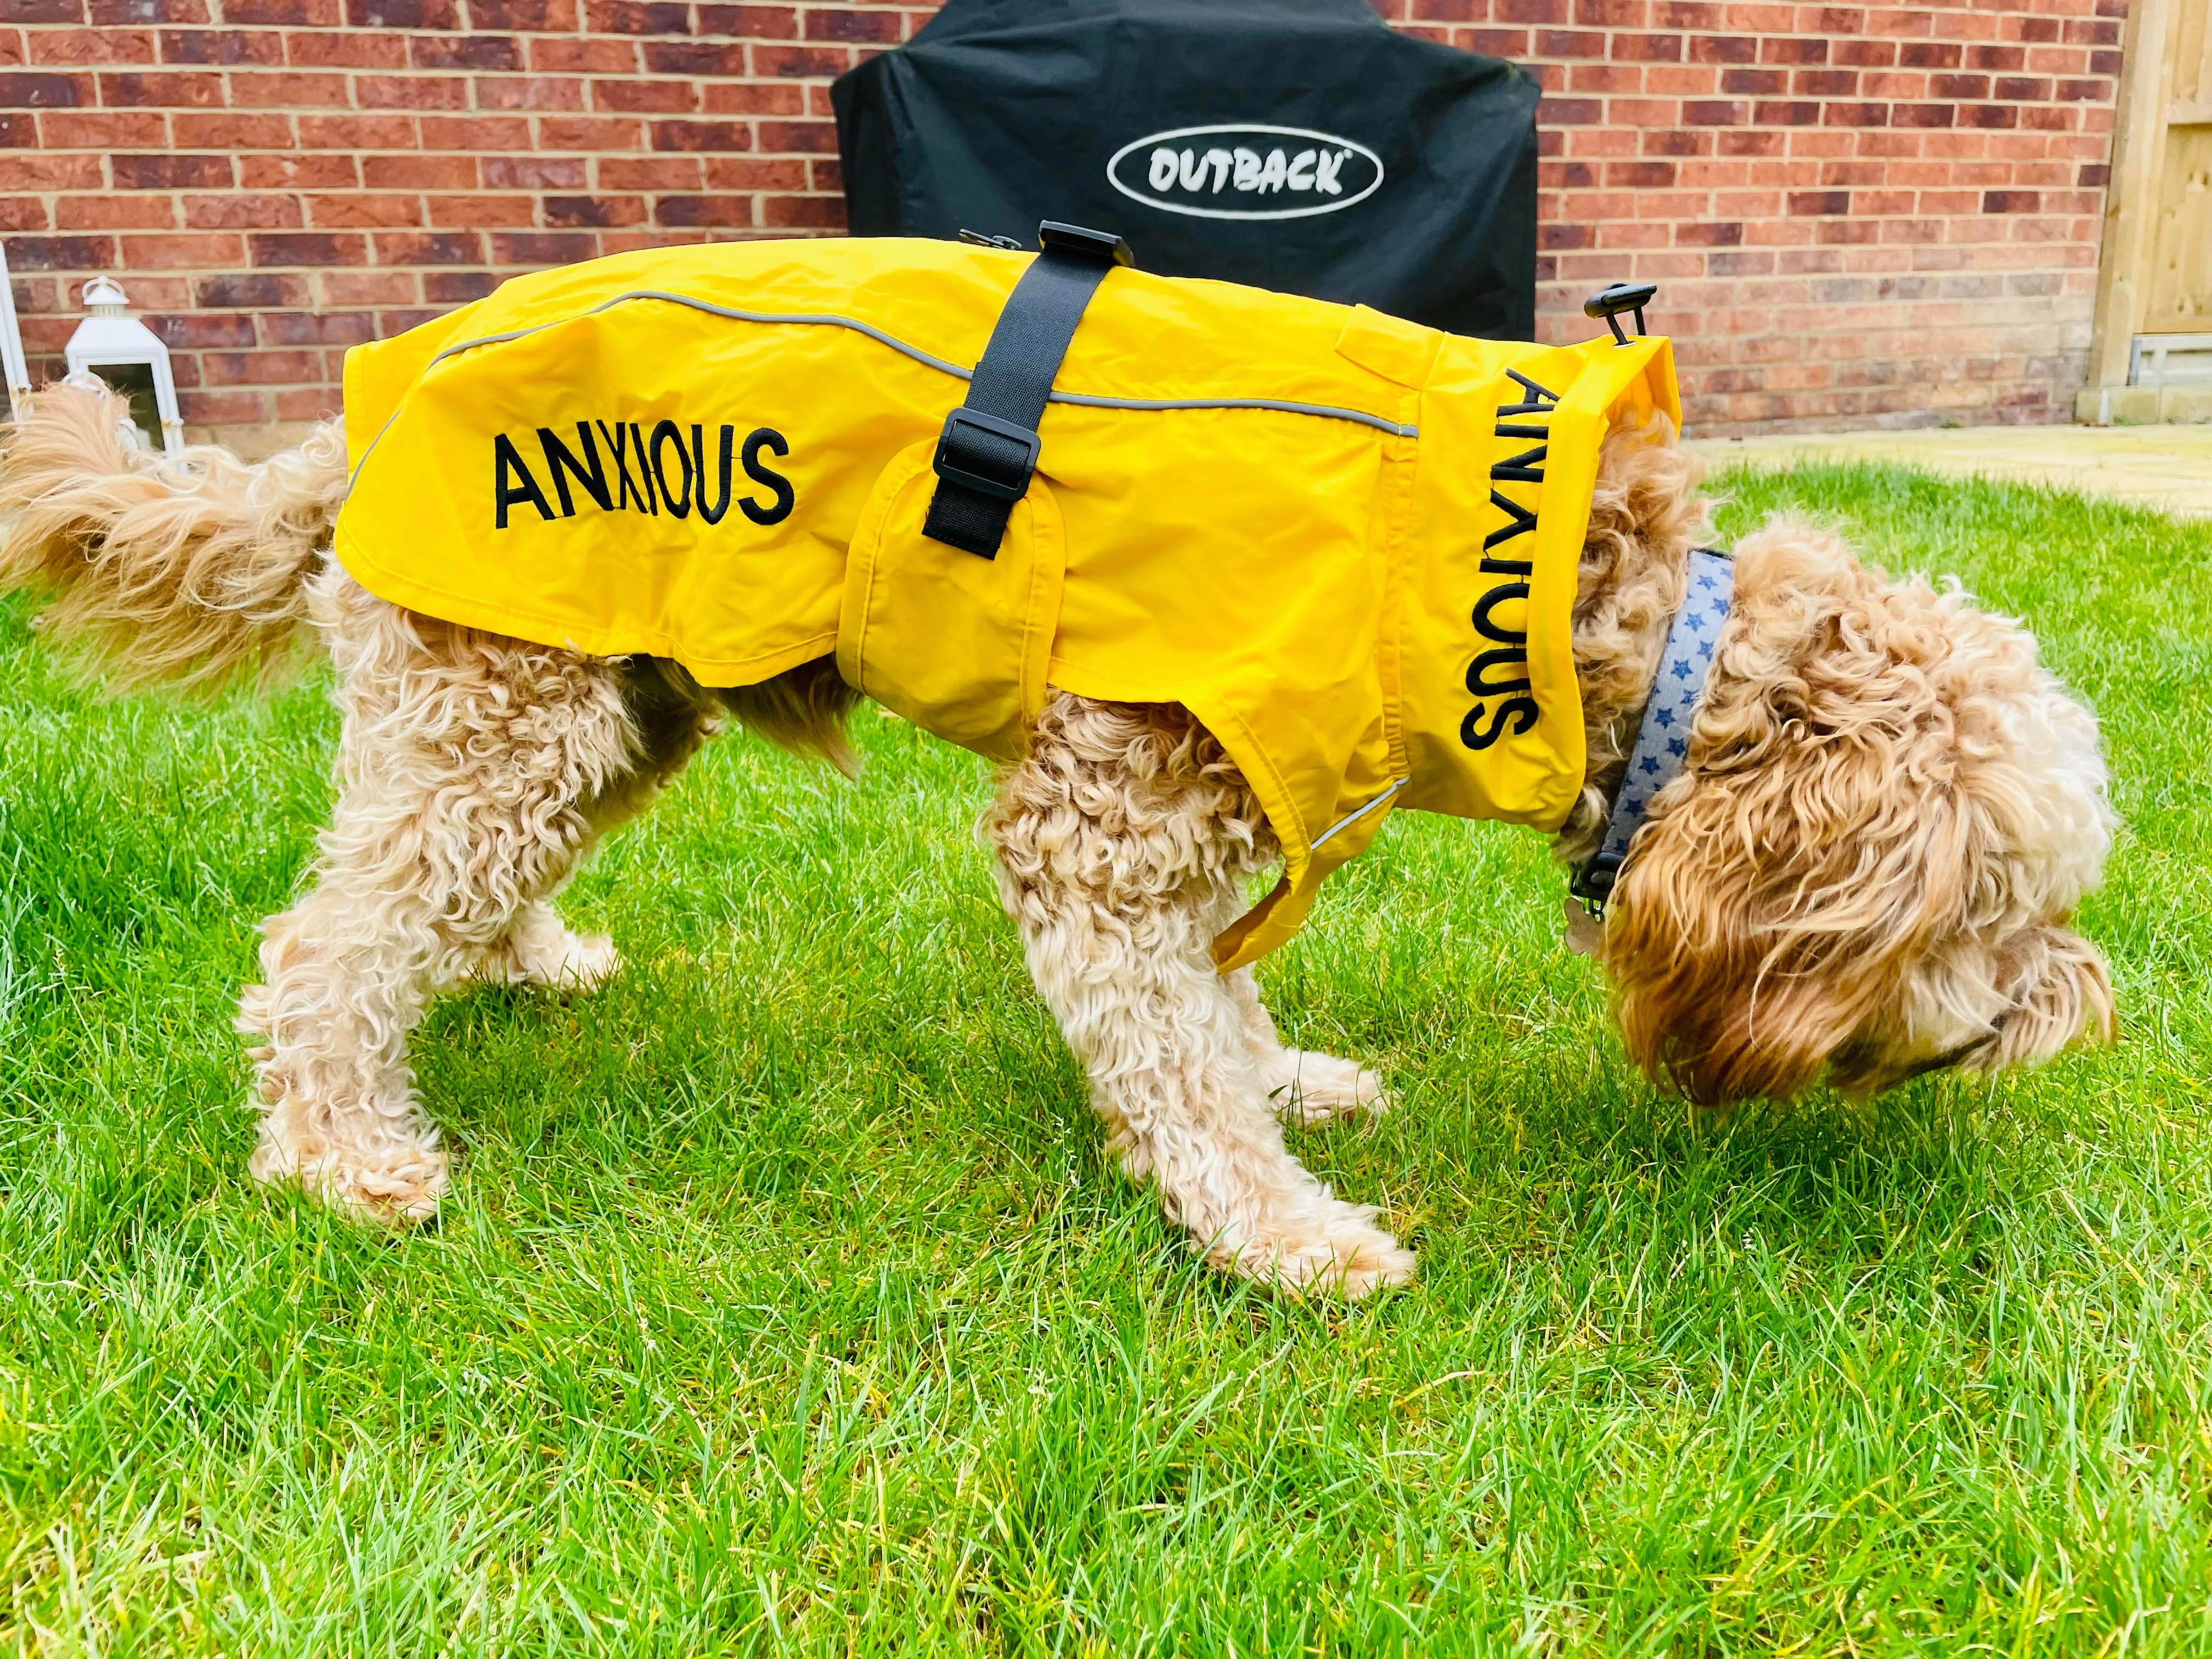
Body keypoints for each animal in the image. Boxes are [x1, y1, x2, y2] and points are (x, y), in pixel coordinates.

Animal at [0, 387, 2106, 1300]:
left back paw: (523, 971)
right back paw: (346, 1154)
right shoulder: (1101, 823)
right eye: (2009, 906)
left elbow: (1224, 1017)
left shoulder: (1219, 828)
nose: (2057, 1024)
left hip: (594, 713)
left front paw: (1295, 1086)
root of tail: (345, 437)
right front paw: (1289, 1239)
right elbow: (1178, 1069)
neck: (1581, 621)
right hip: (506, 709)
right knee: (322, 950)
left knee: (438, 890)